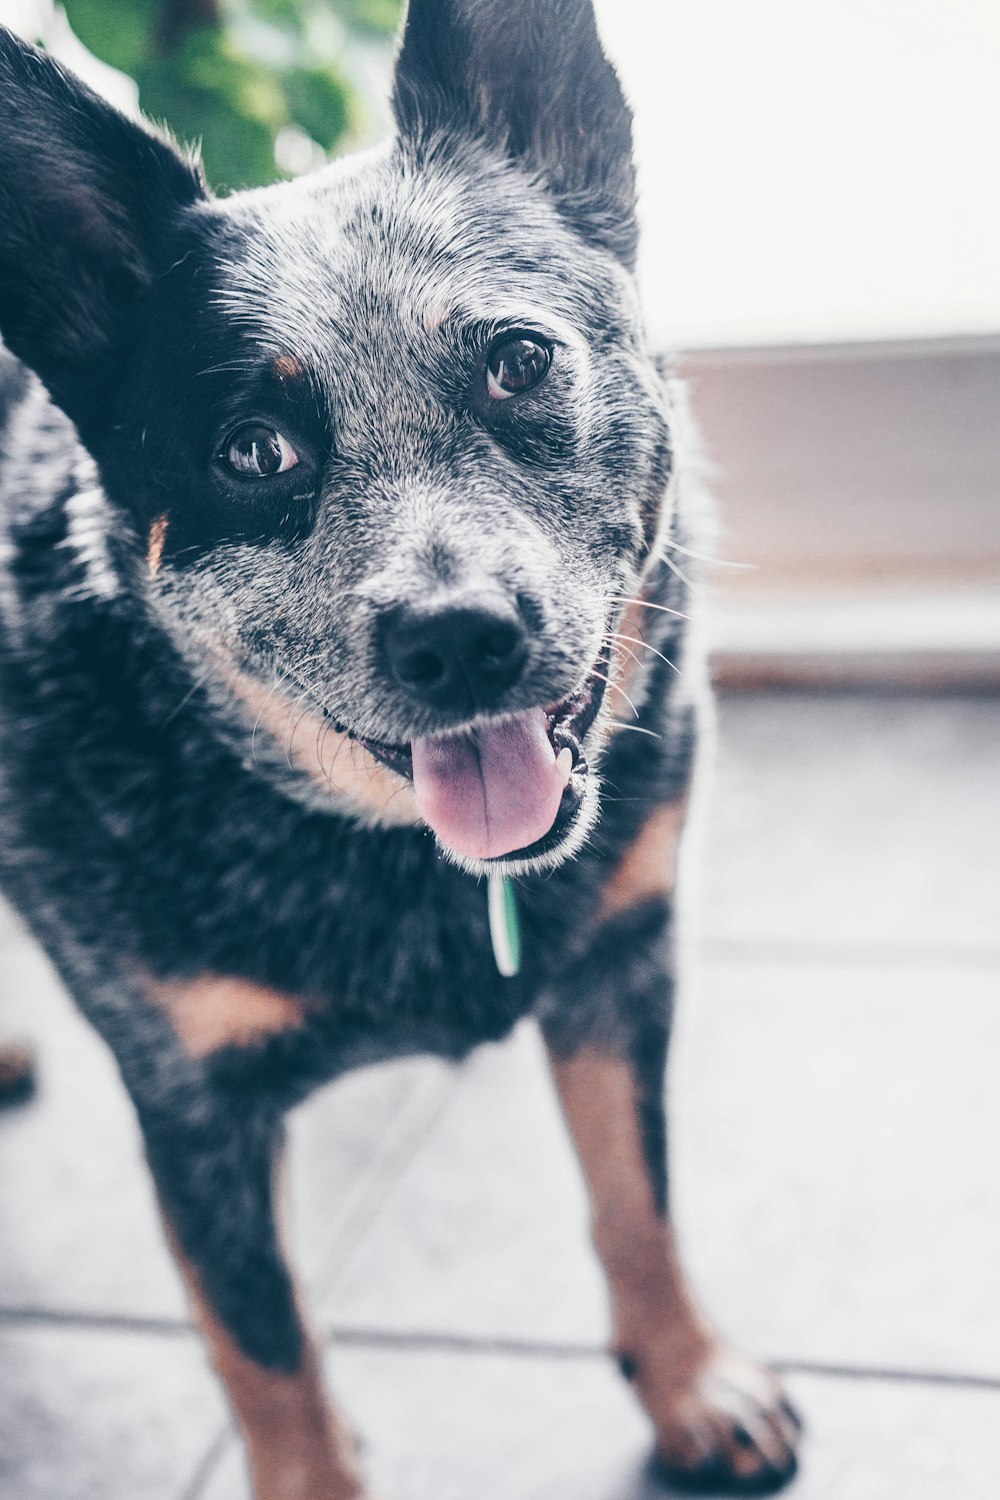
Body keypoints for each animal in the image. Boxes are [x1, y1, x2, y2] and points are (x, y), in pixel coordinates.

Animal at [0, 5, 803, 1494]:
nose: (458, 639)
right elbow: (267, 1356)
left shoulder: (623, 959)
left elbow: (637, 1195)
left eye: (519, 361)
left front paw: (689, 1380)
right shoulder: (197, 1108)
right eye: (253, 450)